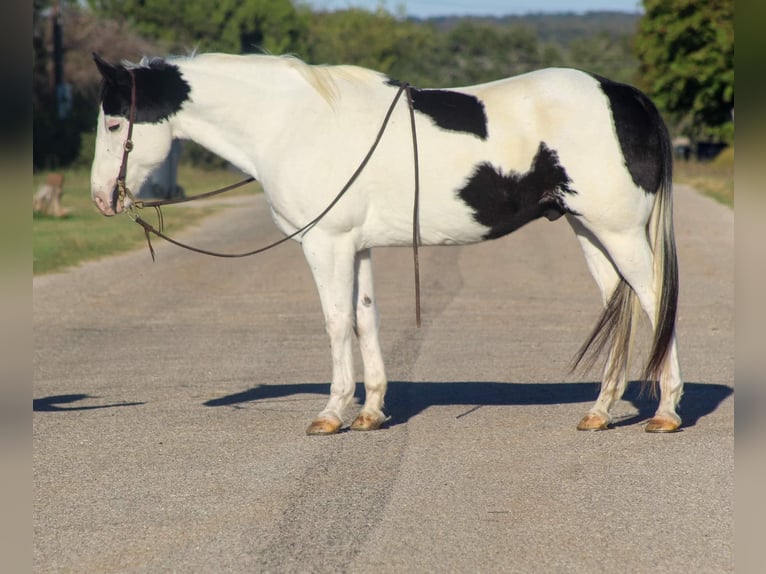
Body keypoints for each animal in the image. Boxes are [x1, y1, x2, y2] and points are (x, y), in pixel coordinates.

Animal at [90, 53, 684, 436]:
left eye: (116, 122)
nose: (101, 198)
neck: (293, 123)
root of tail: (625, 97)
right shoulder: (356, 246)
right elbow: (366, 318)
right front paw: (371, 410)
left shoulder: (325, 244)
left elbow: (336, 323)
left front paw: (332, 413)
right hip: (589, 231)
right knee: (620, 308)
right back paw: (601, 411)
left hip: (619, 232)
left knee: (656, 301)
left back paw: (666, 412)